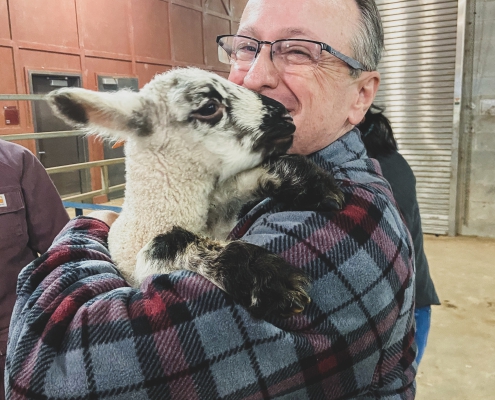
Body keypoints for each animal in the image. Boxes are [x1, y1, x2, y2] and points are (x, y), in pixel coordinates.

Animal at [48, 69, 344, 318]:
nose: (287, 118)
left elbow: (235, 187)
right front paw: (266, 278)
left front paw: (317, 184)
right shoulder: (139, 272)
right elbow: (166, 245)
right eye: (209, 107)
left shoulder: (221, 211)